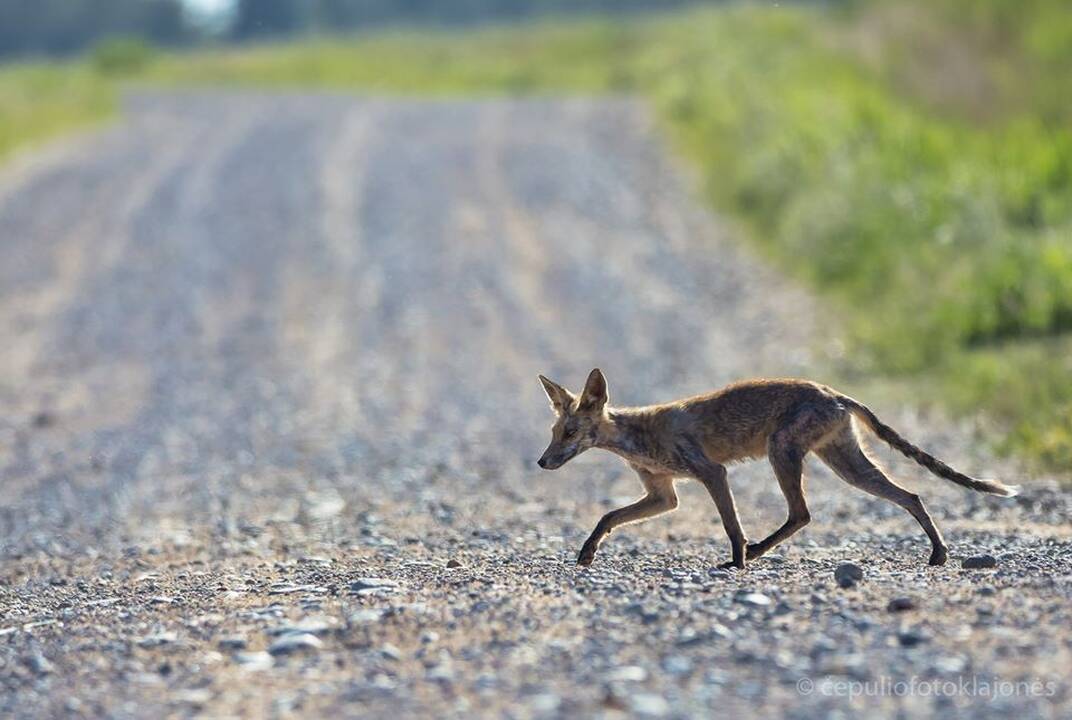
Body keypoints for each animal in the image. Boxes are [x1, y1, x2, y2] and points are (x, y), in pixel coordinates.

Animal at [540, 368, 1016, 570]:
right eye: (554, 431)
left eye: (570, 432)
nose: (542, 462)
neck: (640, 437)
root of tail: (836, 393)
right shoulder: (664, 495)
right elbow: (607, 517)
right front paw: (587, 553)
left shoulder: (711, 473)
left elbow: (732, 526)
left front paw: (736, 564)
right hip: (846, 464)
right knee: (910, 495)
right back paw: (939, 553)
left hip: (782, 451)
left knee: (802, 513)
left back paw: (753, 554)